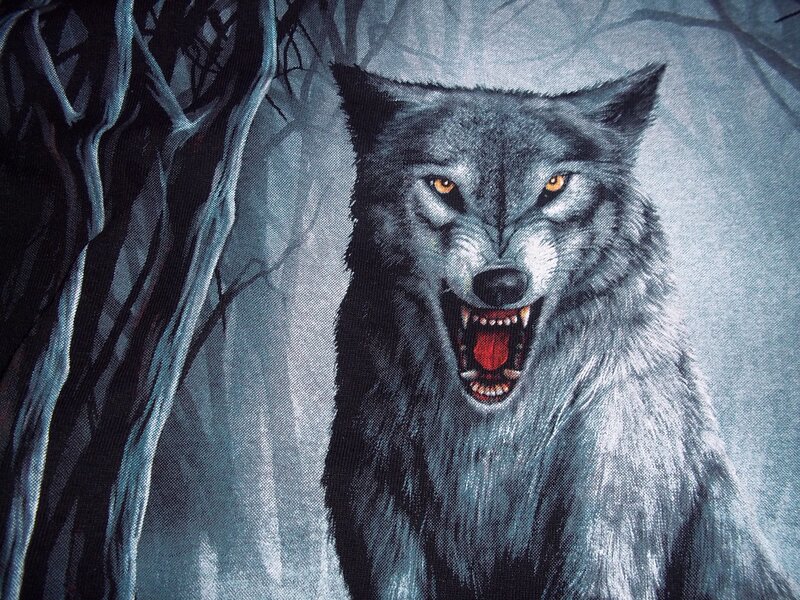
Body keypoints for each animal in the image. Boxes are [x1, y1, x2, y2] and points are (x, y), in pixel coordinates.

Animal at [323, 63, 798, 600]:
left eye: (554, 184)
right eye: (444, 186)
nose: (502, 283)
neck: (493, 444)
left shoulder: (608, 513)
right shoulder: (380, 508)